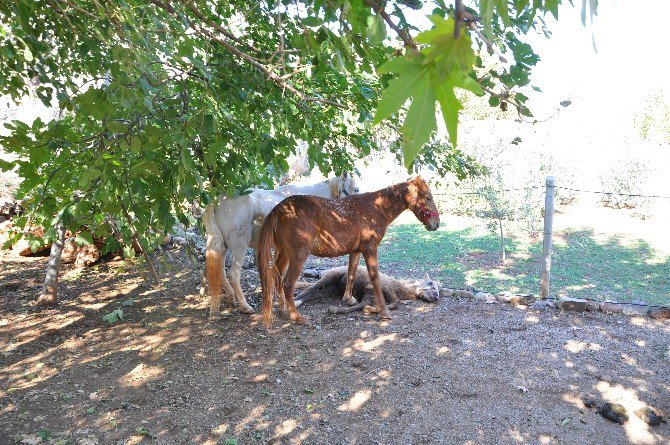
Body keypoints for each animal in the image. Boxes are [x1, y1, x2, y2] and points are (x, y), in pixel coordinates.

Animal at [203, 172, 362, 318]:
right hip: (239, 246)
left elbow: (279, 274)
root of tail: (218, 201)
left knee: (221, 271)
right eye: (356, 189)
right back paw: (245, 306)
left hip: (223, 246)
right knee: (234, 274)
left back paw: (232, 299)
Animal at [258, 176, 440, 326]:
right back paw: (297, 317)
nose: (436, 224)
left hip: (284, 254)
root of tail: (279, 209)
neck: (375, 209)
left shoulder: (356, 251)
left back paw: (282, 310)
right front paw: (384, 311)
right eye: (428, 198)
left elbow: (351, 274)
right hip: (297, 257)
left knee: (277, 278)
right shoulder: (370, 250)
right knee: (288, 284)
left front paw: (349, 300)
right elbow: (375, 279)